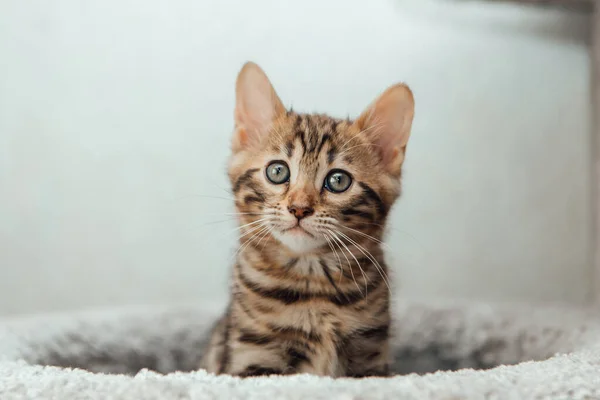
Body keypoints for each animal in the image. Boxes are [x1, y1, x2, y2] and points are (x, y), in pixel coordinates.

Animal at [199, 61, 414, 376]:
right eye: (277, 171)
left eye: (338, 180)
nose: (299, 208)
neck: (312, 280)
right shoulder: (251, 358)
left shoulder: (370, 359)